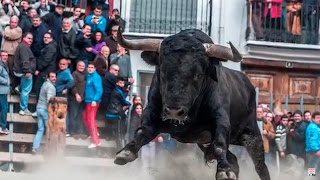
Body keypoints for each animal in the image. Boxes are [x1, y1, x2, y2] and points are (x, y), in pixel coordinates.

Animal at [115, 28, 270, 179]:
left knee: (260, 166)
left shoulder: (221, 119)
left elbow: (219, 144)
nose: (174, 112)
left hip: (251, 135)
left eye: (198, 74)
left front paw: (224, 171)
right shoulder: (152, 111)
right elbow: (143, 131)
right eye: (162, 71)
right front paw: (126, 152)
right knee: (233, 159)